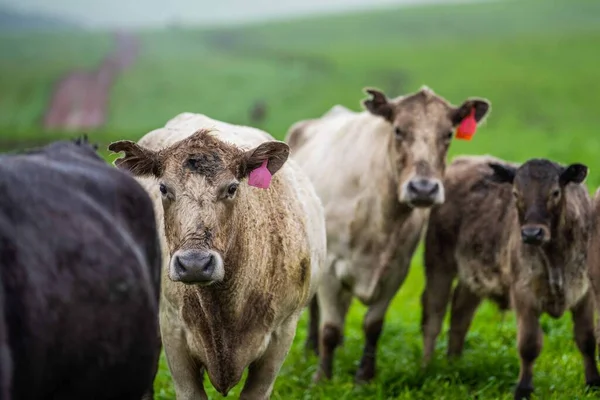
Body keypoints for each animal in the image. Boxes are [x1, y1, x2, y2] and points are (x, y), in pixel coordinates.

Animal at [284, 86, 490, 382]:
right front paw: (322, 377)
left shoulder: (396, 269)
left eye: (448, 134)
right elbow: (330, 328)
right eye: (398, 130)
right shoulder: (331, 269)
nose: (423, 189)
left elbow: (373, 325)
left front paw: (365, 376)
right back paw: (311, 348)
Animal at [422, 155, 600, 400]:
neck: (555, 255)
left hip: (472, 277)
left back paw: (454, 363)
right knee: (433, 316)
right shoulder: (523, 293)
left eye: (555, 192)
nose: (532, 233)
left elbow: (587, 339)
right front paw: (523, 389)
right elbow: (529, 345)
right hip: (439, 264)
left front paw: (593, 383)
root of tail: (462, 160)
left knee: (460, 315)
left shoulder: (584, 293)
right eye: (516, 193)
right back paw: (427, 368)